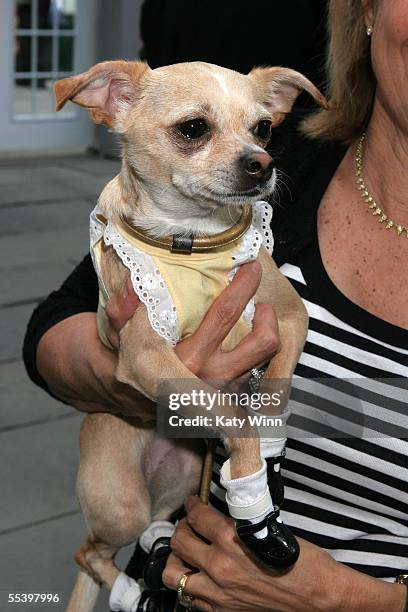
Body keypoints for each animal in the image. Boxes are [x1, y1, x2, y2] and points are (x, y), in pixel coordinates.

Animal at [55, 61, 328, 612]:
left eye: (263, 128)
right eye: (193, 128)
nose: (262, 163)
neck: (193, 240)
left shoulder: (292, 317)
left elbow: (273, 394)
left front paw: (265, 464)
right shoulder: (149, 356)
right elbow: (232, 417)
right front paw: (252, 494)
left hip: (179, 479)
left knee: (148, 527)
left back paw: (161, 549)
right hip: (122, 503)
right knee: (88, 552)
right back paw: (129, 589)